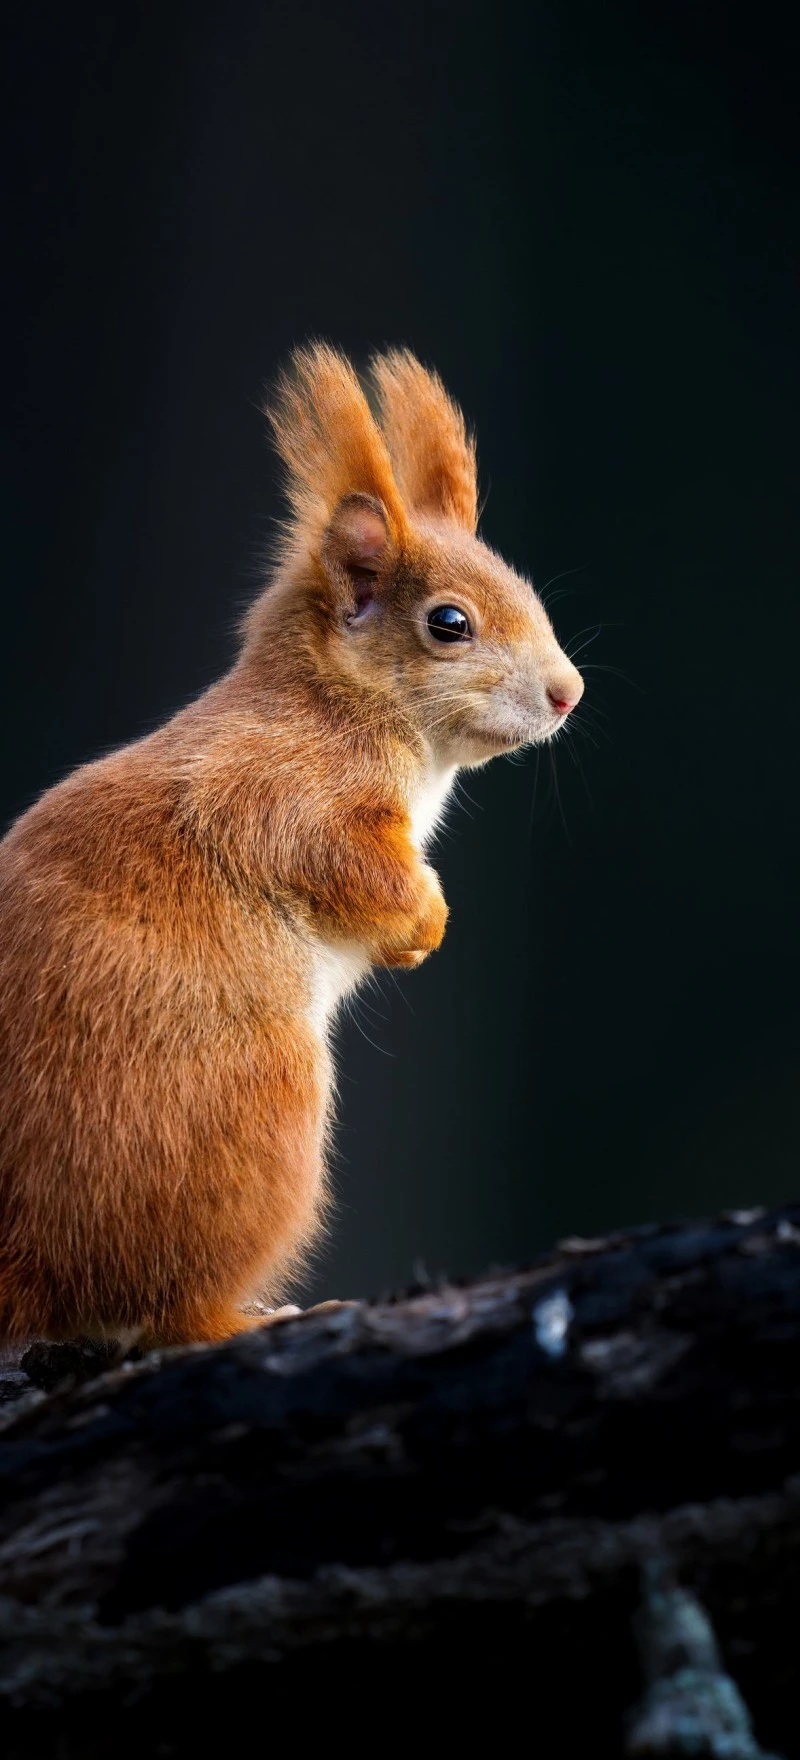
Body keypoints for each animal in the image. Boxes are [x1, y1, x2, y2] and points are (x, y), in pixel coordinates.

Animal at [0, 346, 583, 1346]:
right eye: (450, 623)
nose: (568, 692)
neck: (338, 703)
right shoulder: (283, 789)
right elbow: (343, 865)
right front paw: (424, 921)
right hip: (245, 1113)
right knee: (158, 1307)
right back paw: (247, 1319)